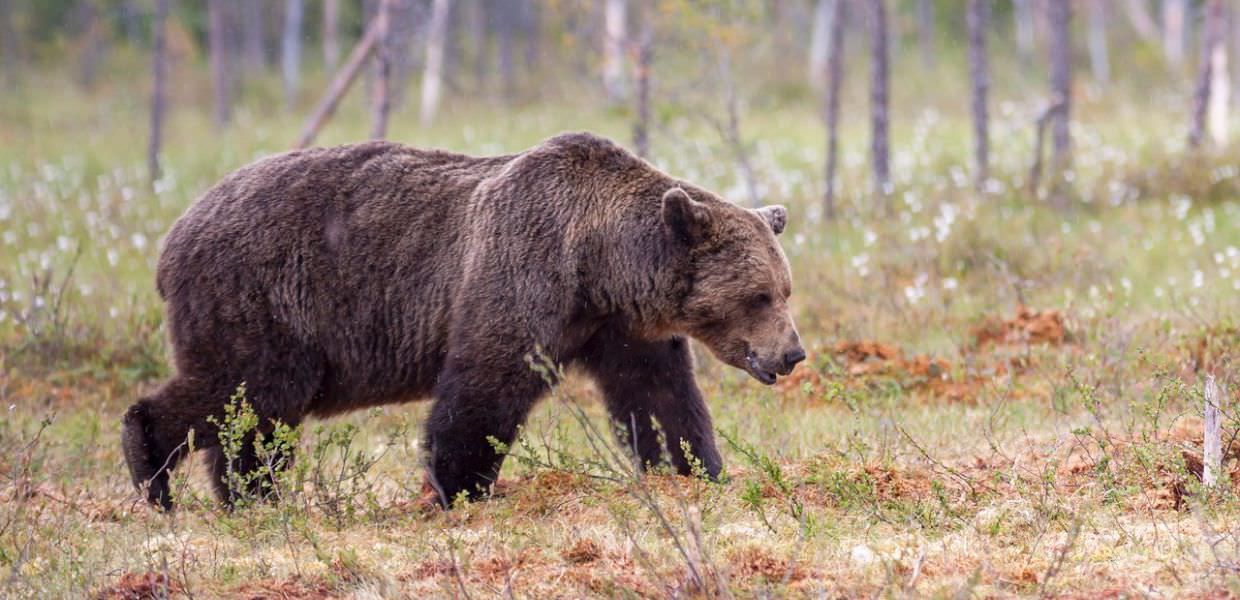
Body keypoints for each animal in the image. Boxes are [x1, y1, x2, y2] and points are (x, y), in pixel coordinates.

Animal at [121, 132, 805, 509]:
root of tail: (174, 234)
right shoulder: (522, 275)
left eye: (784, 289)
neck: (599, 263)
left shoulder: (618, 328)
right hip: (265, 298)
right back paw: (155, 469)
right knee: (250, 391)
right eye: (760, 296)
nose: (792, 354)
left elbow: (659, 399)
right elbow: (484, 387)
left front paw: (694, 469)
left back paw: (243, 496)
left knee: (247, 415)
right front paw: (457, 486)